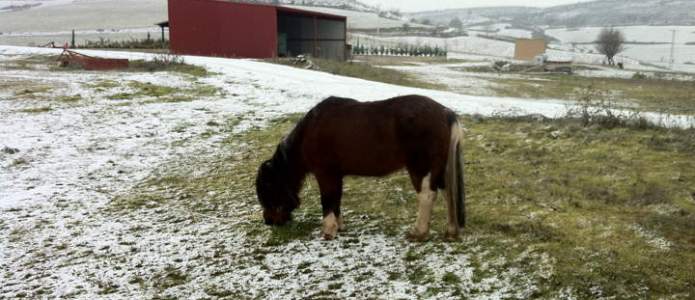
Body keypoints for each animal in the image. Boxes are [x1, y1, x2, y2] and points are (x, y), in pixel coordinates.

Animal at [256, 95, 468, 240]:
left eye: (268, 188)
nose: (269, 221)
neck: (310, 131)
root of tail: (444, 113)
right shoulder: (336, 175)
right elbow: (336, 200)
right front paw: (339, 226)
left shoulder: (325, 174)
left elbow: (327, 200)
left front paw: (328, 231)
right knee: (447, 193)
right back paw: (450, 230)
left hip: (420, 168)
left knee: (427, 195)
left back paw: (418, 232)